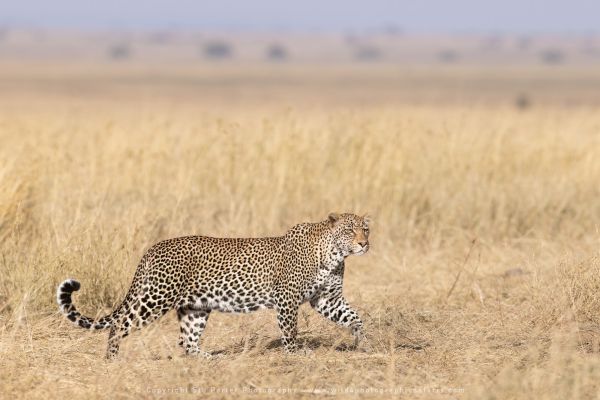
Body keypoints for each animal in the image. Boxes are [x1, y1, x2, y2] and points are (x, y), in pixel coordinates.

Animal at [56, 212, 368, 360]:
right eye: (349, 230)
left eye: (365, 229)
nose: (364, 244)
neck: (333, 254)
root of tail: (152, 249)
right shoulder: (287, 298)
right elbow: (290, 329)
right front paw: (295, 353)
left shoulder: (327, 299)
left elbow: (354, 317)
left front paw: (363, 342)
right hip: (155, 297)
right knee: (119, 323)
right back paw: (112, 358)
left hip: (195, 307)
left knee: (187, 341)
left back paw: (208, 358)